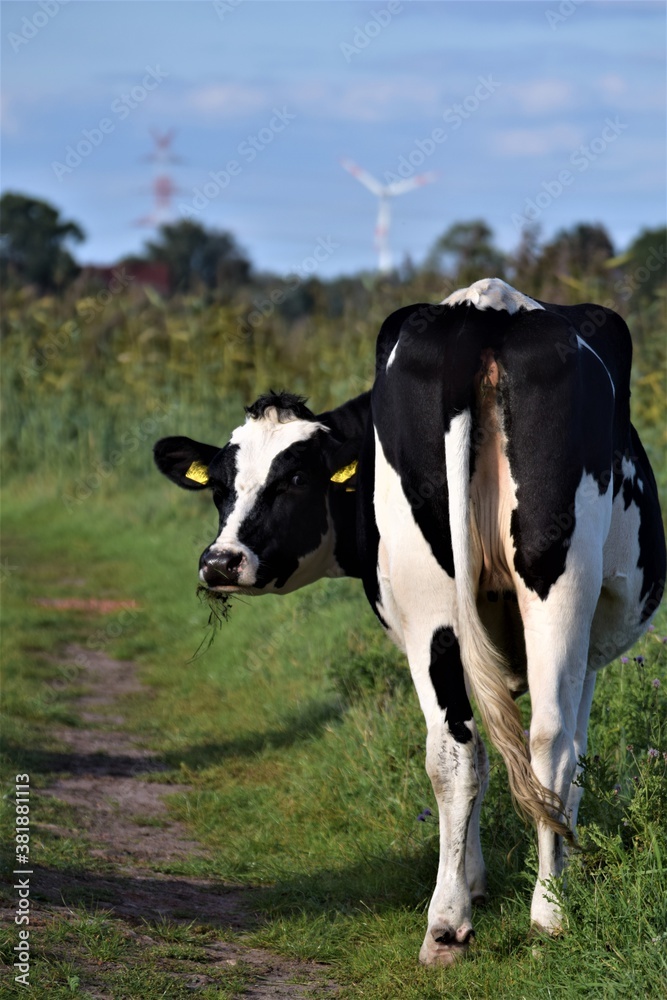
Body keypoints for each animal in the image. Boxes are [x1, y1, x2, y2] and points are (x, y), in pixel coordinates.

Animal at [154, 278, 664, 964]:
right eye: (220, 485)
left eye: (295, 478)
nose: (220, 561)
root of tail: (486, 308)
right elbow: (539, 755)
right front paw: (498, 879)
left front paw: (479, 880)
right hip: (537, 588)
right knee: (532, 745)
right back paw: (533, 913)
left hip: (452, 607)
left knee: (478, 749)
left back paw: (477, 920)